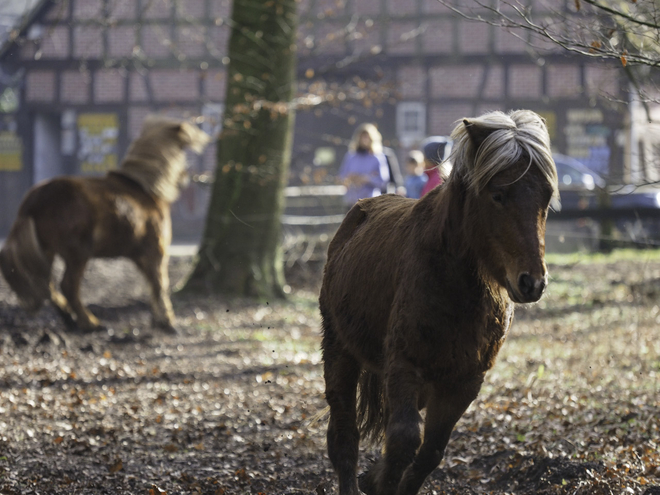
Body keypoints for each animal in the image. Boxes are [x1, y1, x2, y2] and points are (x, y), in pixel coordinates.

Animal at [0, 116, 209, 334]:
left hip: (48, 251)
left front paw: (158, 320)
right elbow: (160, 284)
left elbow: (152, 285)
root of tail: (34, 200)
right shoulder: (156, 252)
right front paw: (167, 322)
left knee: (47, 286)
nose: (189, 177)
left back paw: (70, 319)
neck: (144, 188)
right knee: (68, 286)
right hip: (77, 253)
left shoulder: (140, 255)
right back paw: (89, 323)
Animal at [320, 109, 556, 495]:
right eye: (498, 195)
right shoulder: (404, 366)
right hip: (339, 351)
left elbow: (429, 452)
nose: (532, 282)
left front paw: (382, 479)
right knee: (344, 437)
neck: (455, 286)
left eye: (547, 197)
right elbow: (403, 441)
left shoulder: (463, 382)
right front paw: (381, 481)